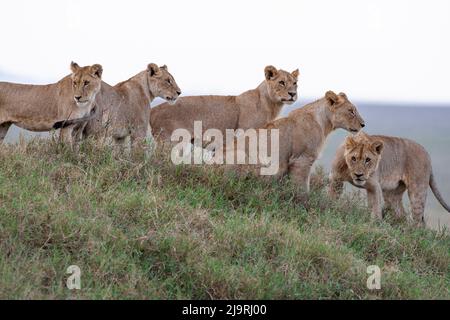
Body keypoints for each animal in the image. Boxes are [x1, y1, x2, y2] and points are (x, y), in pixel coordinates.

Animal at [150, 65, 298, 146]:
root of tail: (153, 109)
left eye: (295, 83)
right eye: (281, 82)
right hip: (168, 141)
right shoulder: (245, 133)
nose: (293, 94)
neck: (272, 105)